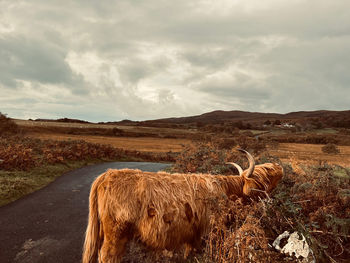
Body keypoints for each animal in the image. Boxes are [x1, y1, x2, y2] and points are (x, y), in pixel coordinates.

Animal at [82, 150, 282, 262]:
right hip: (116, 233)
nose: (279, 167)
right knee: (107, 256)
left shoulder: (191, 235)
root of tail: (106, 175)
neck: (226, 191)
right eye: (260, 183)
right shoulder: (209, 231)